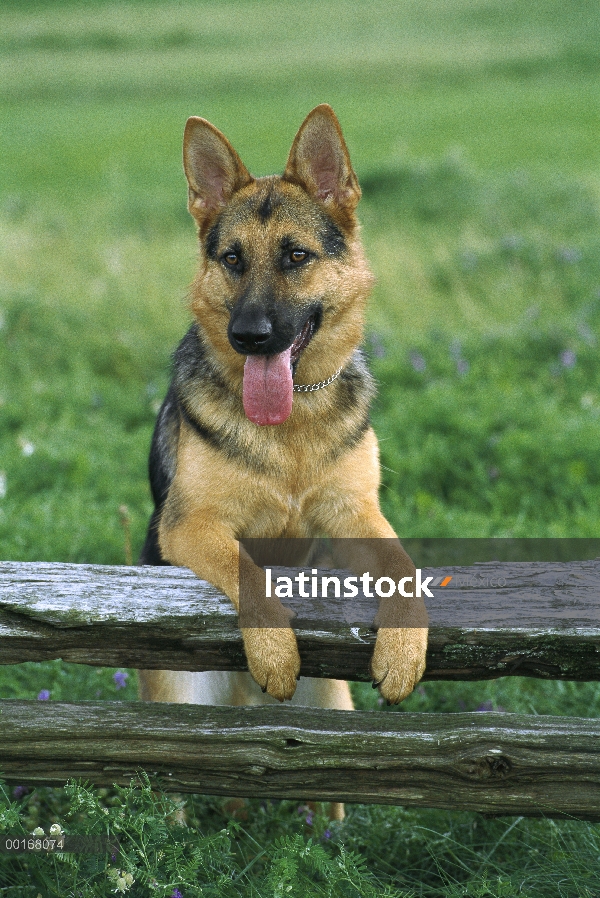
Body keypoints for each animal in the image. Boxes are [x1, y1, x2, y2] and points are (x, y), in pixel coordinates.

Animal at [138, 105, 428, 768]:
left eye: (295, 256)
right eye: (232, 260)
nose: (250, 336)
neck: (289, 429)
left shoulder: (355, 514)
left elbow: (402, 566)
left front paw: (404, 651)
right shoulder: (191, 525)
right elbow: (247, 570)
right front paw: (274, 651)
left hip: (333, 702)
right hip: (178, 703)